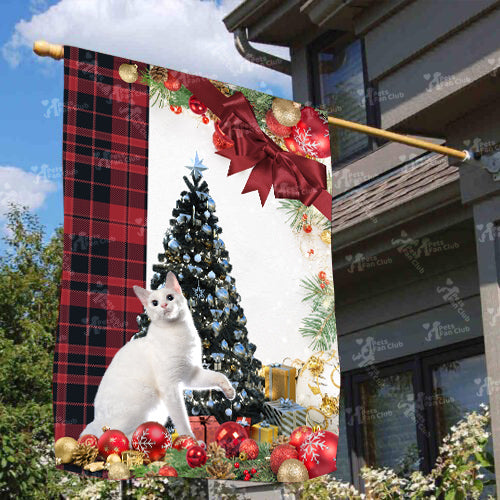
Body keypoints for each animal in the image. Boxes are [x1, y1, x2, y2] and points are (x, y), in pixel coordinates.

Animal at [80, 272, 236, 440]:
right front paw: (190, 441)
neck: (179, 333)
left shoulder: (190, 375)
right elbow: (182, 420)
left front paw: (229, 391)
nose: (164, 305)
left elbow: (219, 375)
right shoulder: (170, 387)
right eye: (154, 303)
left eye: (170, 297)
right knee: (118, 436)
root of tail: (95, 420)